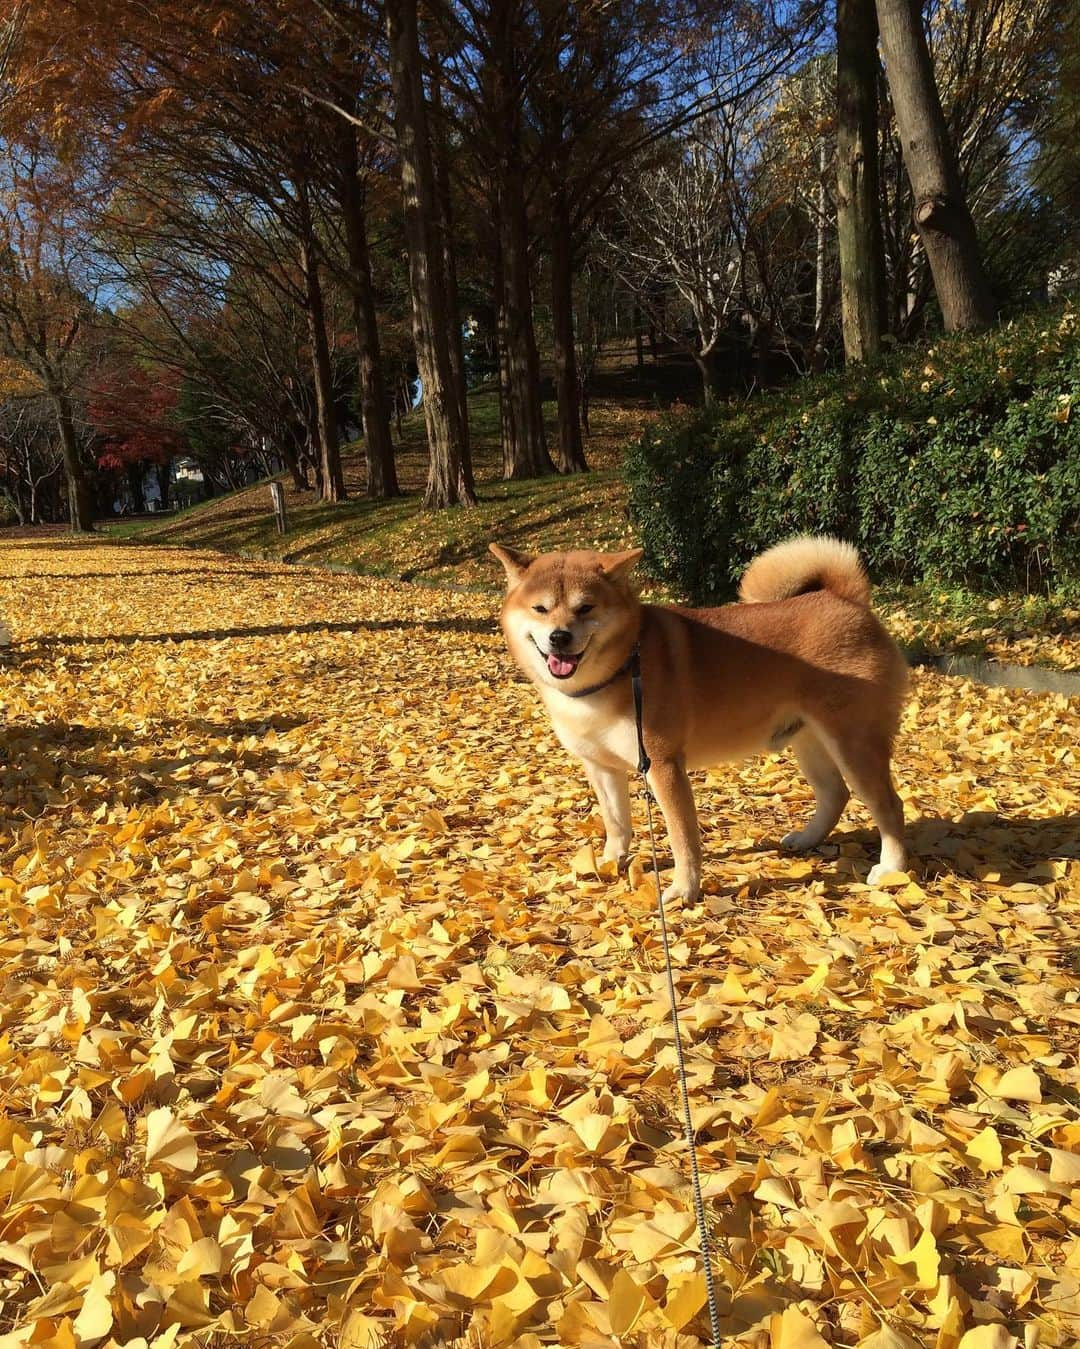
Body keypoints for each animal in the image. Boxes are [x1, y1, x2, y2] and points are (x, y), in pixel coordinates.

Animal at [490, 531, 911, 901]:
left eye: (585, 608)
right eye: (540, 609)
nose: (559, 637)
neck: (619, 670)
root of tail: (848, 601)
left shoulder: (662, 765)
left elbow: (682, 838)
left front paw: (684, 890)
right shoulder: (601, 767)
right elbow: (617, 823)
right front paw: (610, 863)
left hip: (853, 743)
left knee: (889, 806)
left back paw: (891, 869)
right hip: (808, 741)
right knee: (835, 793)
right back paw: (807, 839)